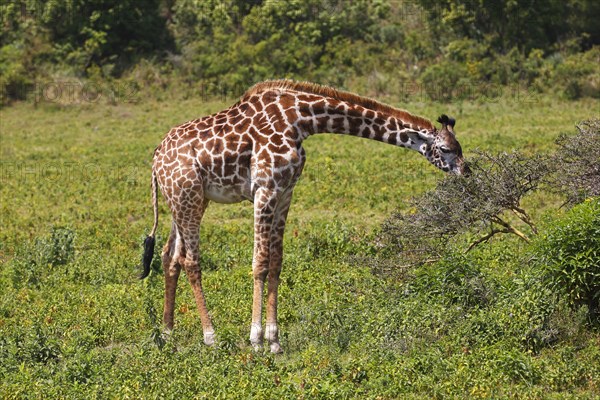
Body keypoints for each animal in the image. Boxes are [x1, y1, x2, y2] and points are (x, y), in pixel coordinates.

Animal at [142, 80, 468, 354]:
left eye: (459, 147)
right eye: (445, 149)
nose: (467, 172)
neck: (301, 121)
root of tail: (156, 157)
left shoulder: (286, 191)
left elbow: (276, 261)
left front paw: (275, 340)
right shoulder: (265, 189)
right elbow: (259, 262)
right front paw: (256, 340)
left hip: (187, 200)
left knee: (170, 256)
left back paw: (168, 333)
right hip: (188, 197)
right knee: (190, 261)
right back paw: (210, 337)